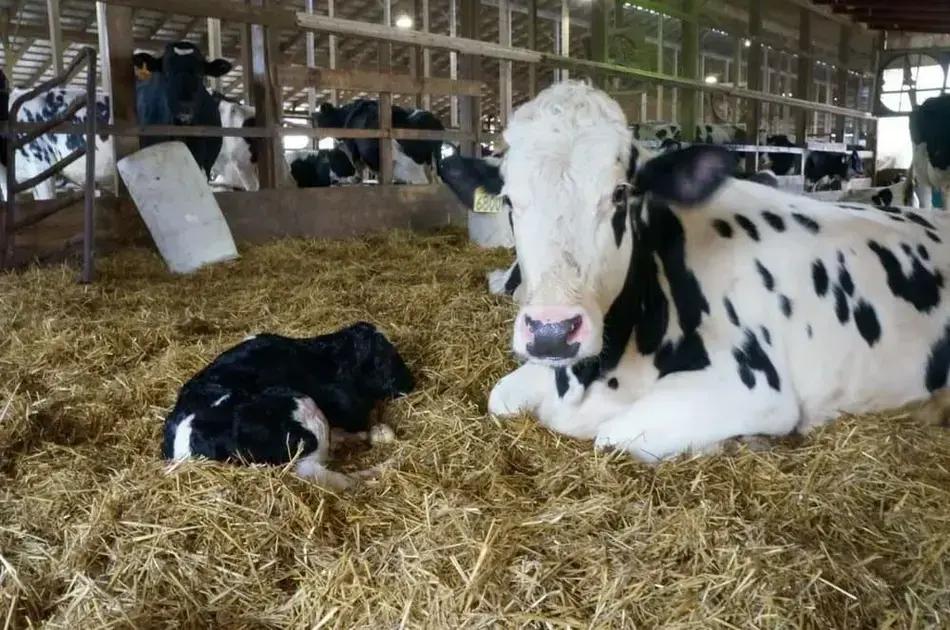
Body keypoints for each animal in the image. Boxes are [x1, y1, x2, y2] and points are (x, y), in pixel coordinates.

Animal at [456, 81, 950, 462]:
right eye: (508, 199)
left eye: (620, 193)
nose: (552, 332)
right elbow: (499, 398)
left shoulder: (753, 389)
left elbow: (611, 437)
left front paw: (740, 444)